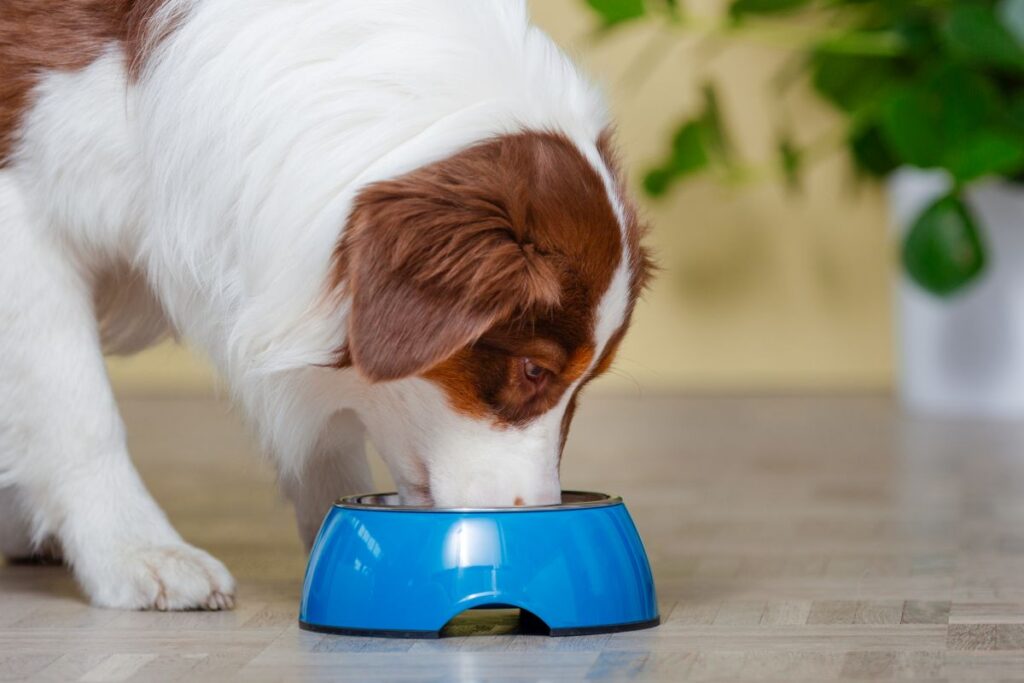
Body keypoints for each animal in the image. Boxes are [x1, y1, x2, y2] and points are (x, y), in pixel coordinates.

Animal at [0, 0, 651, 610]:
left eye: (582, 385)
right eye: (534, 370)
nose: (537, 513)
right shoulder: (23, 205)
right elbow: (80, 409)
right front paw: (136, 550)